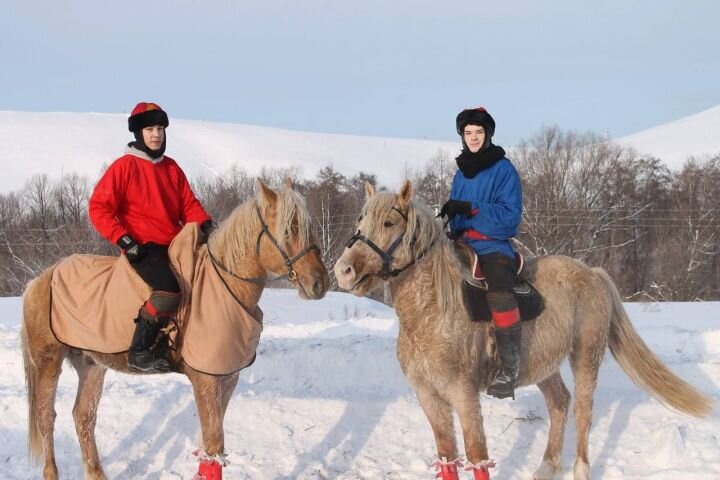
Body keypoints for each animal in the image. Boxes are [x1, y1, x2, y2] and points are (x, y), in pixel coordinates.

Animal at [19, 180, 330, 480]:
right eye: (290, 229)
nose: (320, 283)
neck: (225, 286)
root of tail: (41, 279)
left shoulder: (227, 378)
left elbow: (210, 446)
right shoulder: (205, 379)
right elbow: (214, 444)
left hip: (91, 364)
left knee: (84, 416)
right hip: (49, 362)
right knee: (47, 417)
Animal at [334, 181, 712, 480]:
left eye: (389, 222)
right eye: (360, 220)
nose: (343, 271)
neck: (432, 312)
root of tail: (591, 273)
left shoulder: (463, 394)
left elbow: (477, 456)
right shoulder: (429, 396)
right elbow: (447, 458)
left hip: (586, 355)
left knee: (582, 412)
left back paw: (580, 470)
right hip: (544, 365)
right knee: (560, 404)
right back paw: (546, 468)